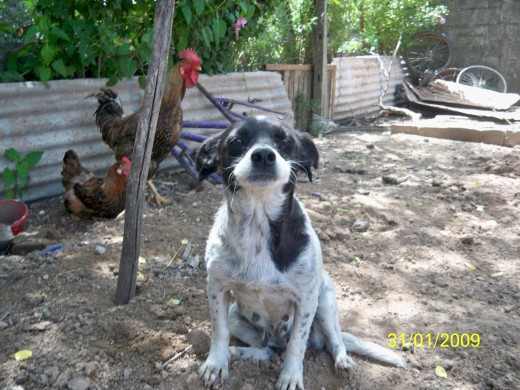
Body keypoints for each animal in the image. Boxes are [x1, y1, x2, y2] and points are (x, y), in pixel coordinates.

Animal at [197, 116, 404, 390]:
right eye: (236, 141)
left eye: (285, 141)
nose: (263, 155)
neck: (258, 227)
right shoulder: (217, 289)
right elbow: (218, 332)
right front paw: (216, 363)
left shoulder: (306, 300)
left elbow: (297, 345)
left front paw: (291, 376)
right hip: (236, 316)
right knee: (268, 350)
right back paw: (238, 352)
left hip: (324, 301)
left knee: (334, 340)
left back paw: (342, 360)